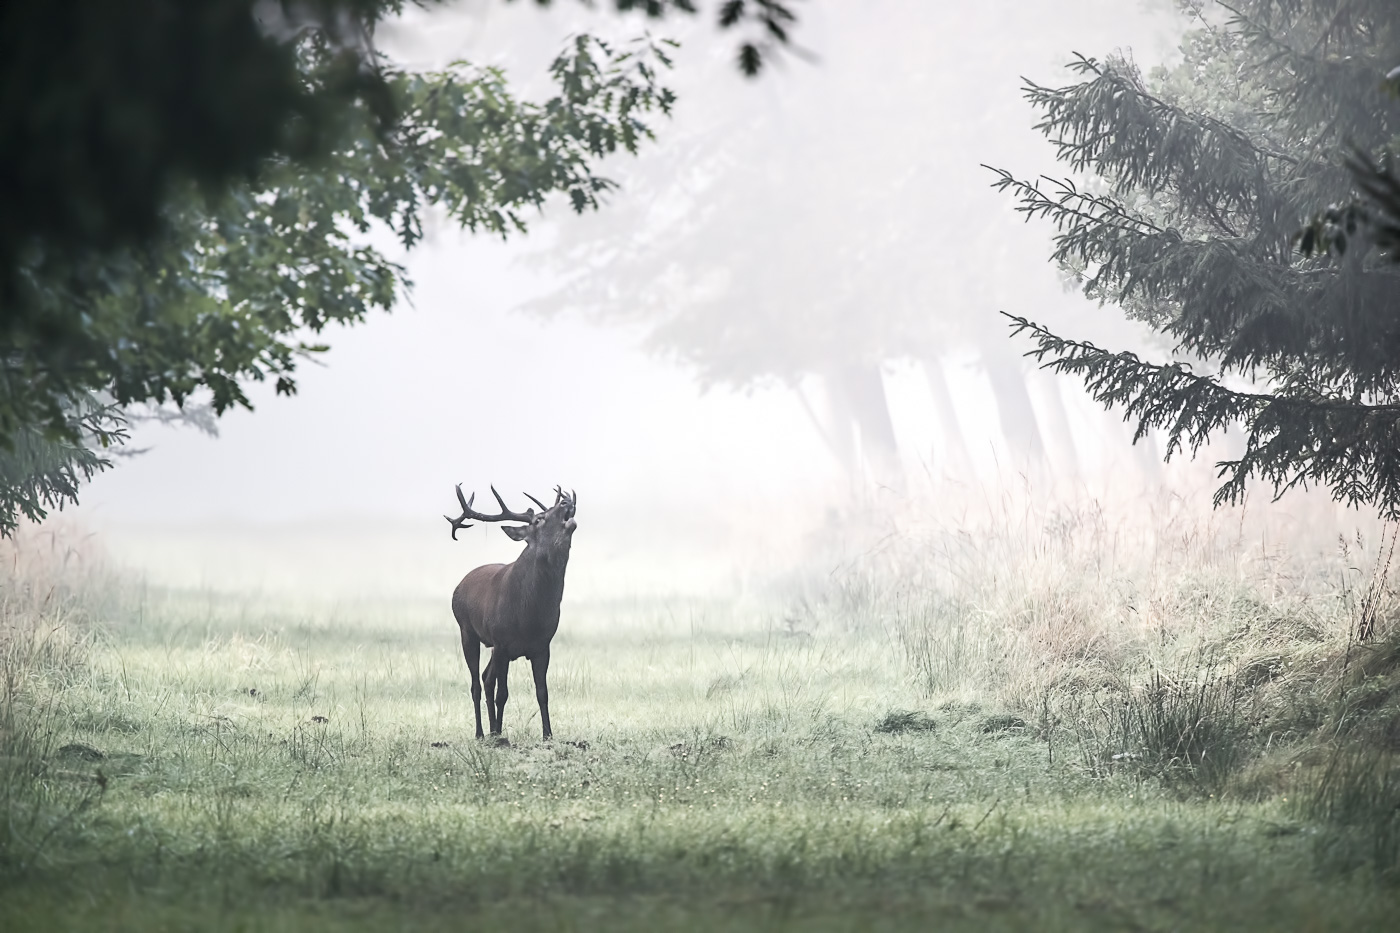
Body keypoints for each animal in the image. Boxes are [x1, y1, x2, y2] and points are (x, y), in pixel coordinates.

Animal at [448, 481, 579, 739]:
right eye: (539, 519)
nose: (566, 501)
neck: (529, 616)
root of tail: (459, 586)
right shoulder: (502, 642)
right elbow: (503, 694)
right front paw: (499, 733)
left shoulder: (542, 646)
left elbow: (542, 692)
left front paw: (548, 735)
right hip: (467, 631)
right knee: (477, 683)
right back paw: (482, 733)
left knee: (486, 677)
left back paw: (491, 730)